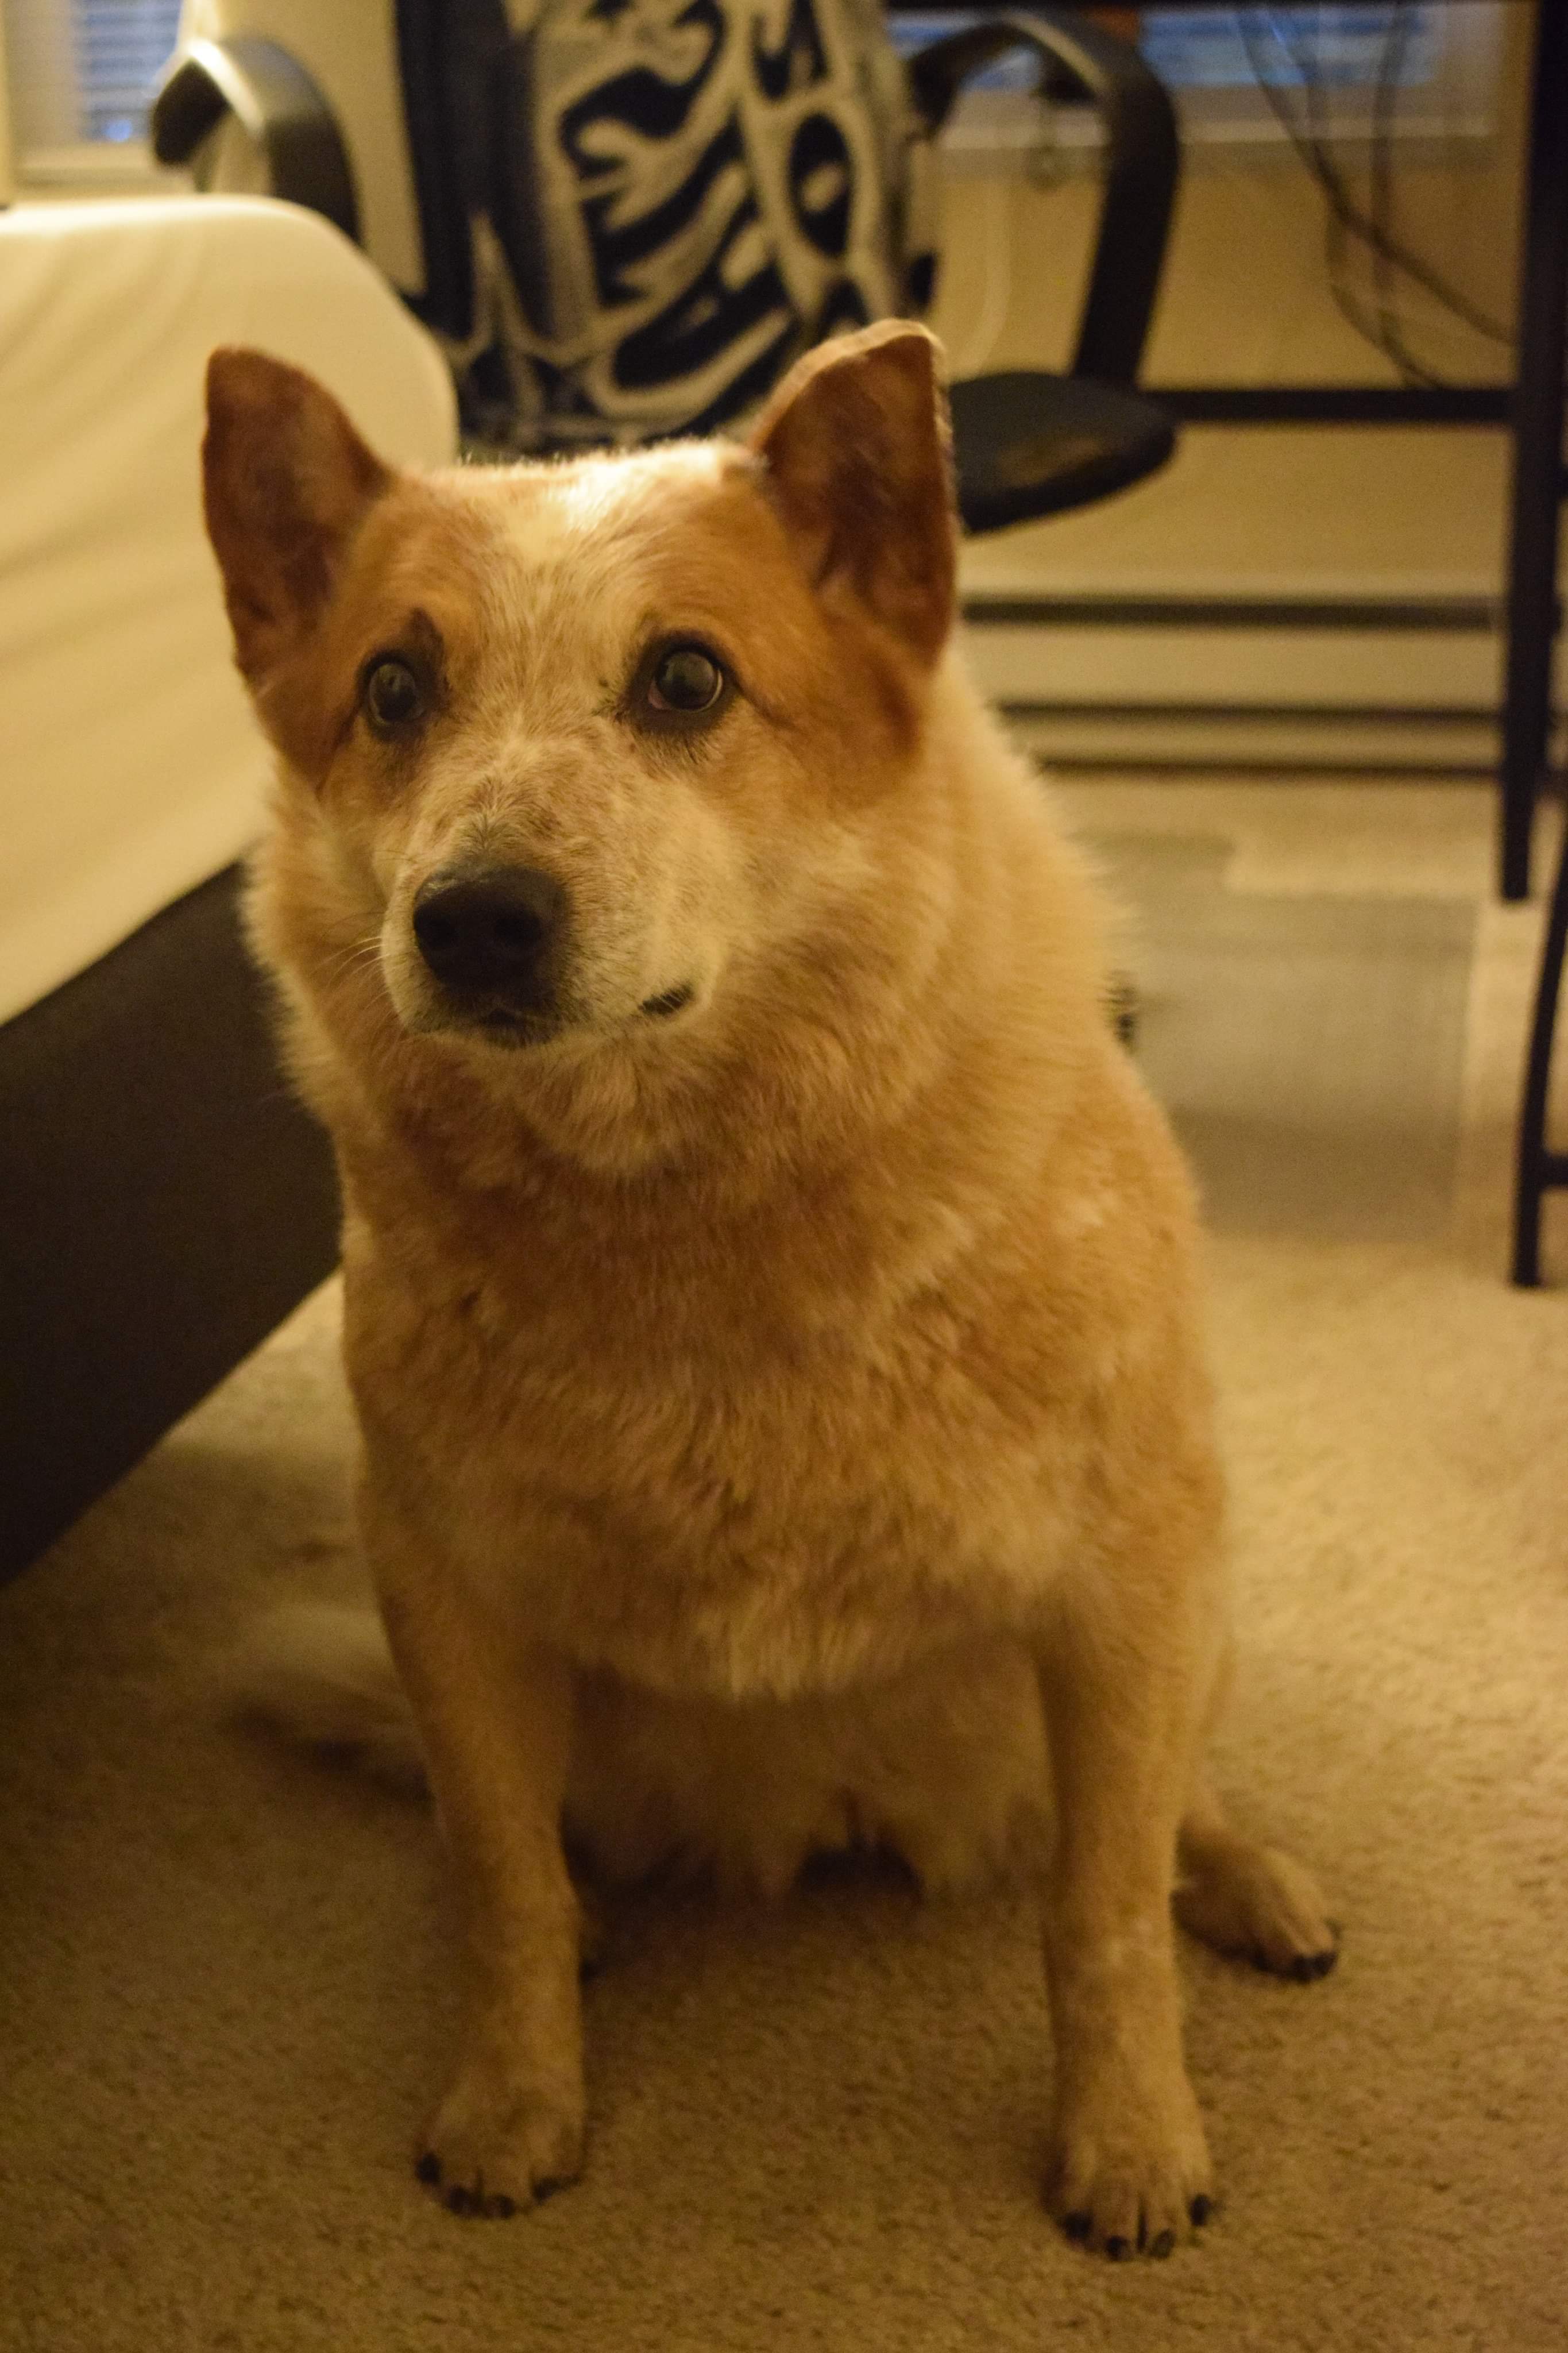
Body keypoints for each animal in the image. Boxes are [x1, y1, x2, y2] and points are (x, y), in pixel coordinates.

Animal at [206, 322, 1335, 2249]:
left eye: (684, 680)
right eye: (392, 692)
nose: (473, 918)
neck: (691, 1231)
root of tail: (846, 1810)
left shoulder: (1125, 1588)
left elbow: (1101, 1916)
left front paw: (1129, 2143)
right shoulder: (441, 1590)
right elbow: (496, 1882)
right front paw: (517, 2100)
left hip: (1201, 1614)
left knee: (1169, 1809)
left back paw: (1253, 1883)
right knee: (529, 1846)